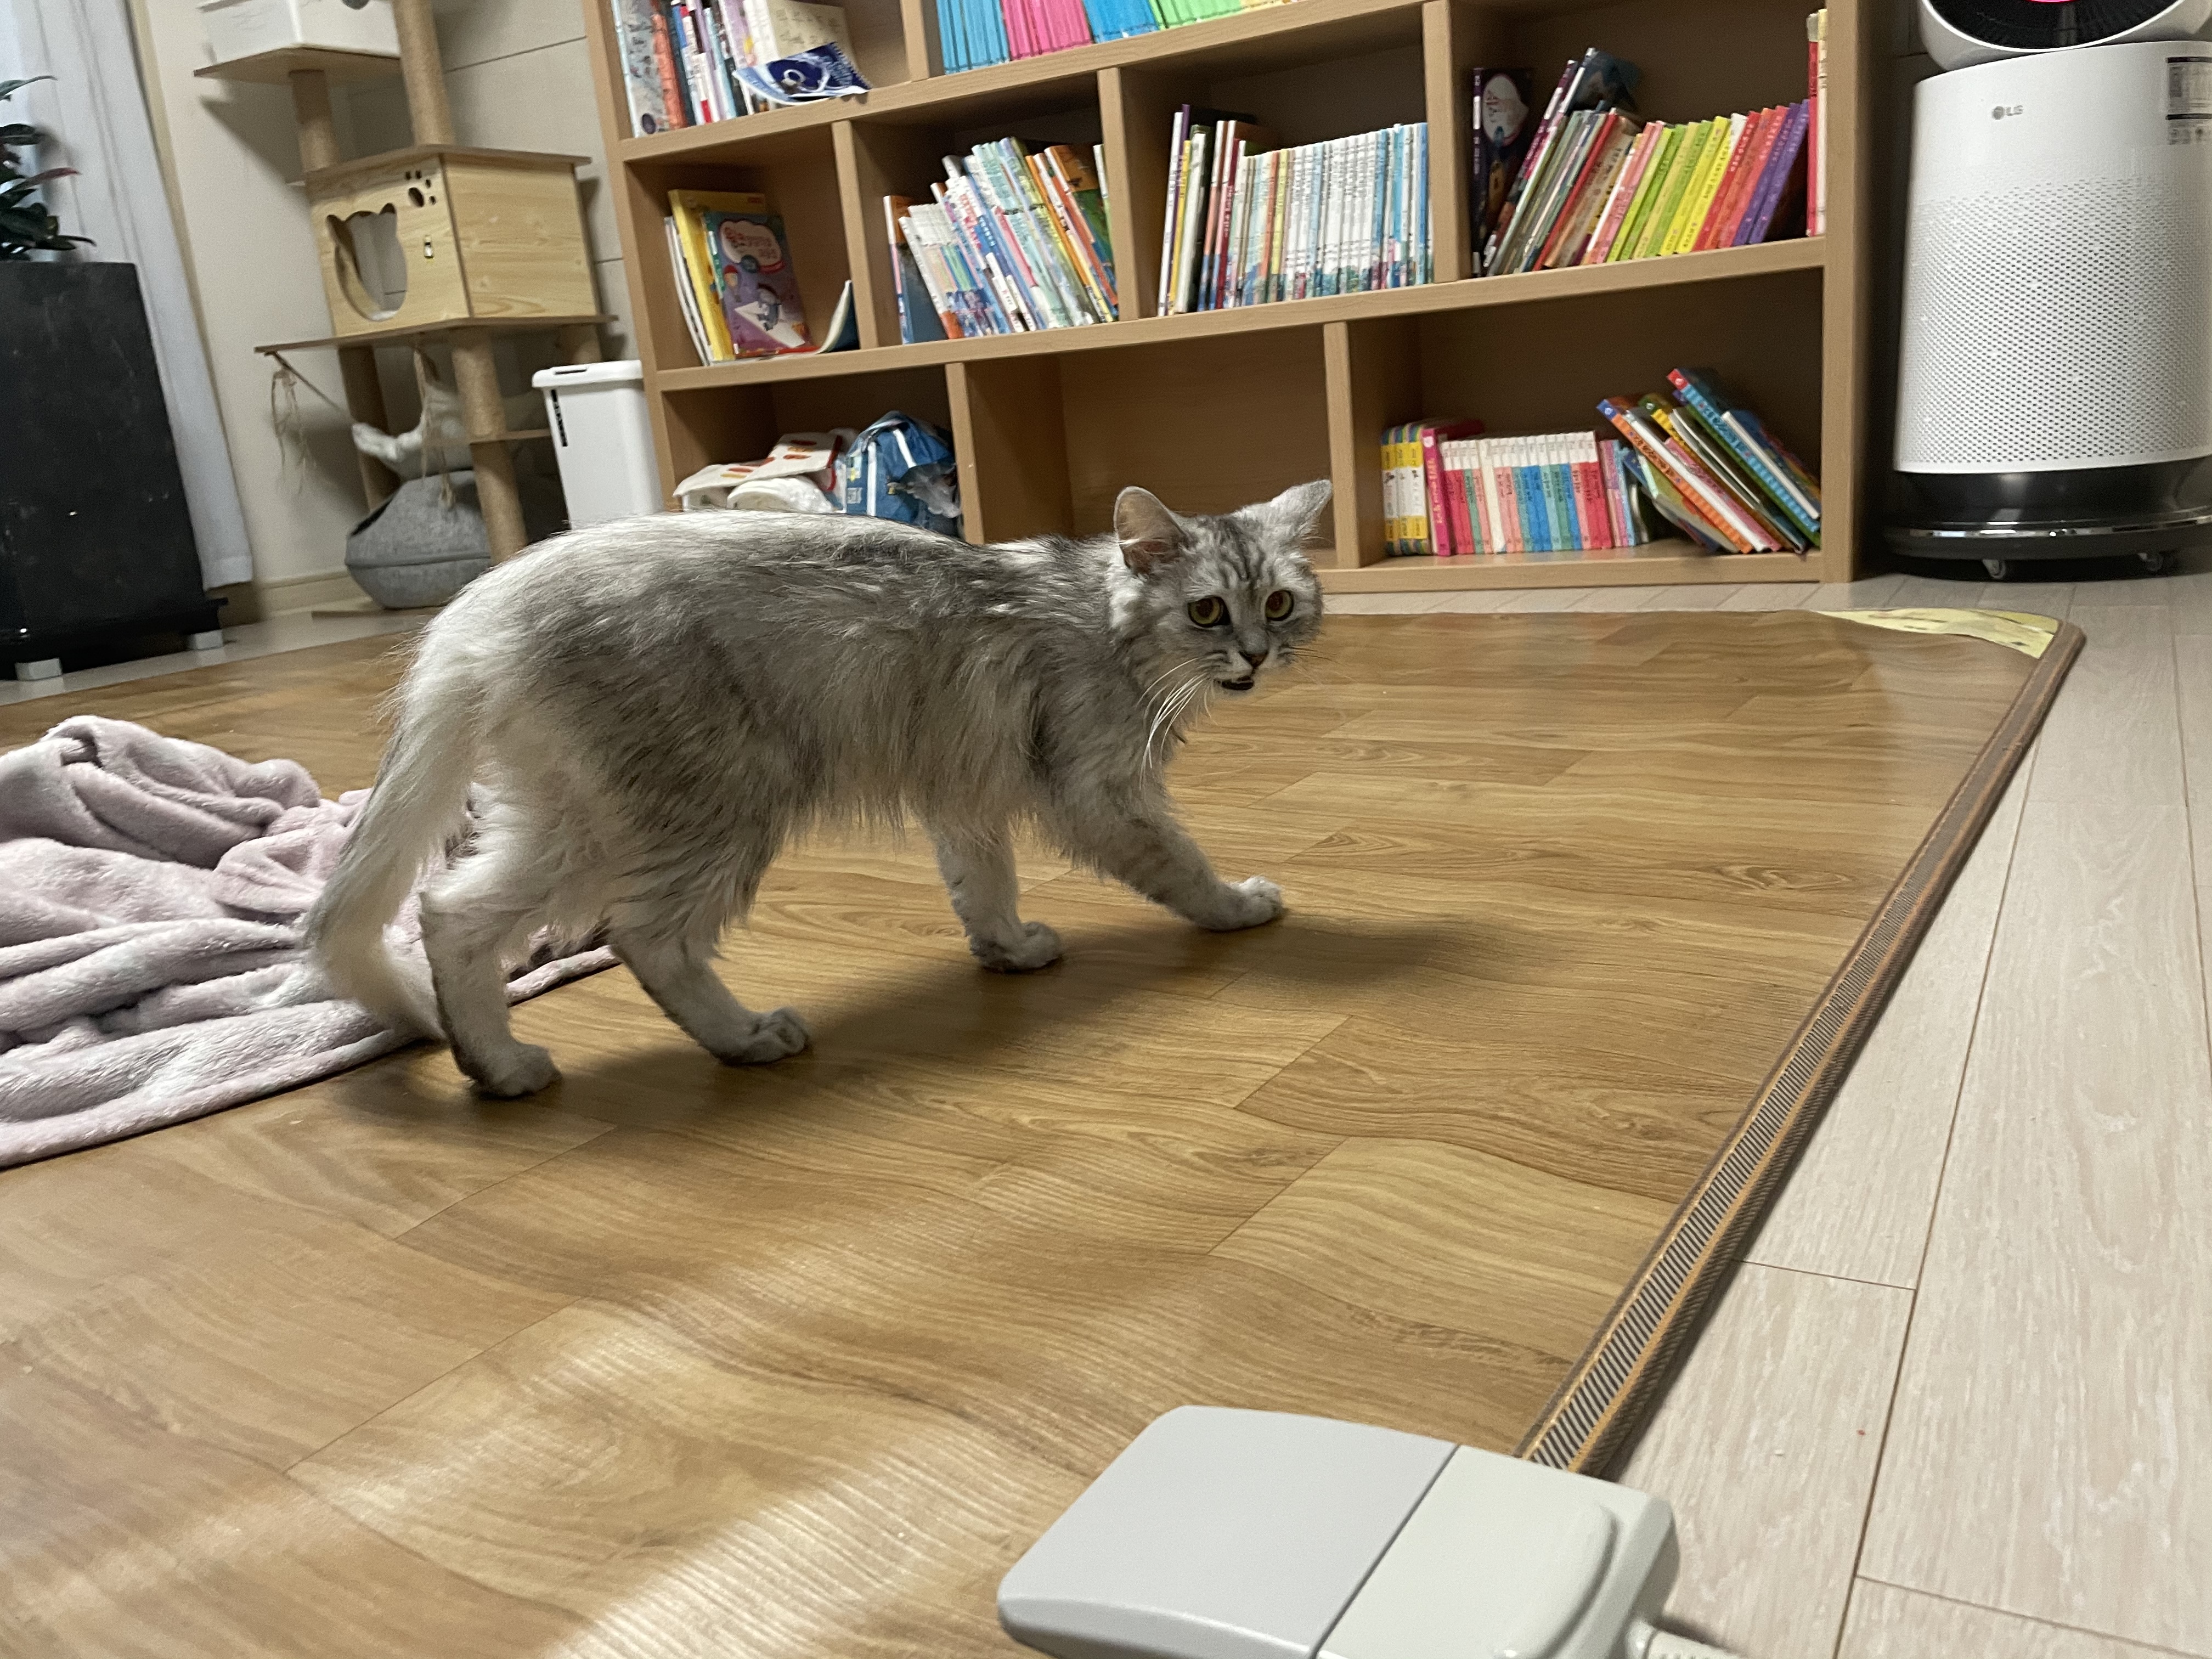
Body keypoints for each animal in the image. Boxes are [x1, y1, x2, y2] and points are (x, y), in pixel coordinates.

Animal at [306, 479, 1331, 1098]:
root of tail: (480, 607)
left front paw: (1006, 949)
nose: (1254, 656)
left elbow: (984, 887)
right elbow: (1183, 866)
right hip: (710, 803)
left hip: (575, 816)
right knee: (640, 935)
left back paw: (498, 1065)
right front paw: (1238, 907)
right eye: (1208, 611)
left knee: (449, 913)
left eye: (1280, 604)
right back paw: (743, 1036)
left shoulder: (963, 790)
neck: (1099, 616)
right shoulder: (1099, 790)